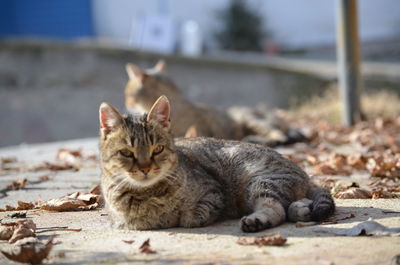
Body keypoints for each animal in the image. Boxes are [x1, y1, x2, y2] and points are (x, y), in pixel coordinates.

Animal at [100, 95, 334, 231]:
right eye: (126, 153)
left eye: (157, 149)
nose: (145, 168)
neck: (148, 194)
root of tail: (304, 174)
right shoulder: (127, 223)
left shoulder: (214, 192)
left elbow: (192, 216)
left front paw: (182, 216)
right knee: (288, 208)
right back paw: (301, 209)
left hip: (261, 182)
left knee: (276, 209)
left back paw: (257, 221)